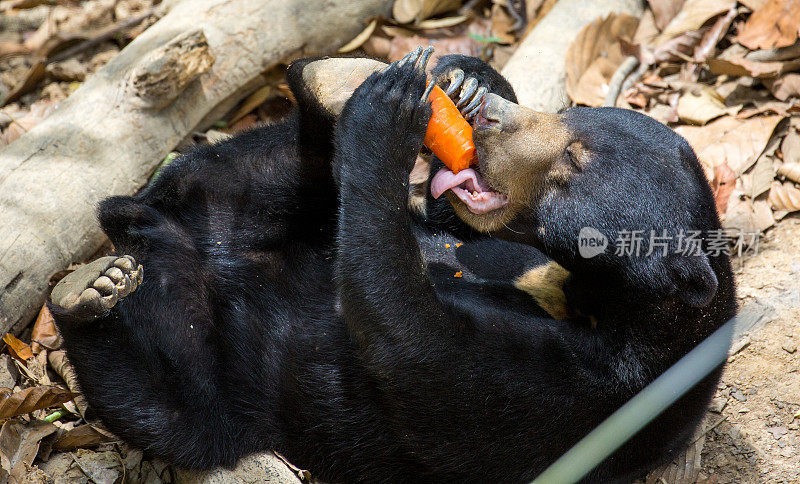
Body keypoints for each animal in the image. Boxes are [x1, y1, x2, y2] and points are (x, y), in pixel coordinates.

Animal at [47, 47, 736, 482]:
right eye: (570, 116)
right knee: (246, 175)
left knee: (163, 398)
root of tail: (177, 238)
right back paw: (330, 79)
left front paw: (390, 114)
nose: (488, 121)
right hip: (229, 191)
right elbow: (436, 227)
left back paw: (92, 292)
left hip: (220, 389)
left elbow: (410, 340)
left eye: (570, 164)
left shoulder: (591, 400)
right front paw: (466, 81)